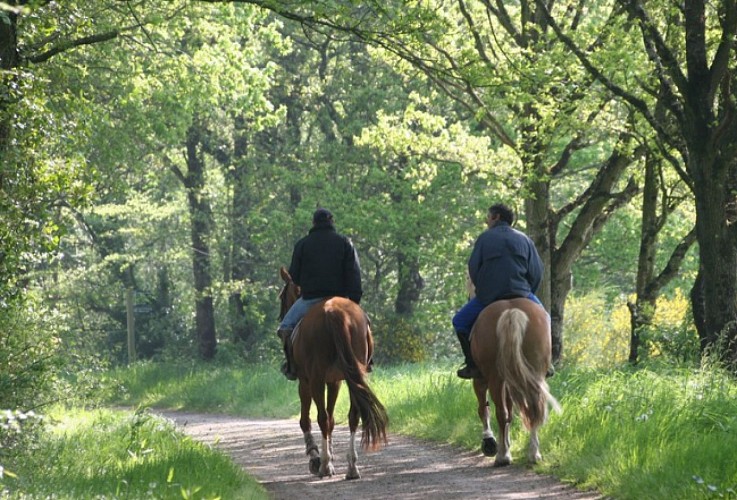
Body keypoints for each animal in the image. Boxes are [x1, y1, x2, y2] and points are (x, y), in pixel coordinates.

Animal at [278, 268, 388, 478]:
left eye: (282, 296)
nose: (281, 316)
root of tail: (335, 312)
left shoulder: (305, 382)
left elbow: (307, 420)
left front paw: (316, 457)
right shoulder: (335, 381)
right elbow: (332, 419)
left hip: (316, 380)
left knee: (321, 418)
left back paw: (324, 466)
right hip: (353, 376)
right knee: (353, 416)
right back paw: (351, 466)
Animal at [468, 296, 560, 464]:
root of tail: (512, 312)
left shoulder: (480, 379)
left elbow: (484, 409)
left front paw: (489, 441)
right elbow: (510, 412)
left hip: (494, 377)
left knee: (500, 412)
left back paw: (502, 455)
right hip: (534, 372)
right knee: (533, 408)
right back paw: (533, 454)